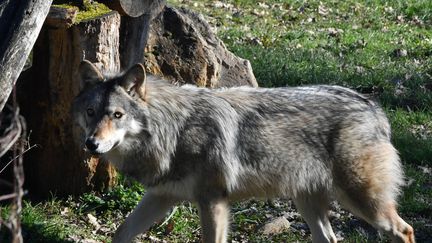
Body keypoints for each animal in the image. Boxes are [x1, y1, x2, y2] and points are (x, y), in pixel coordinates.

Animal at [71, 59, 416, 243]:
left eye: (117, 115)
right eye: (90, 112)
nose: (92, 144)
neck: (174, 129)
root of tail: (373, 107)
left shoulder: (213, 202)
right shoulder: (161, 197)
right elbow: (121, 232)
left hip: (364, 204)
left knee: (405, 230)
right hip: (308, 203)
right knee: (331, 238)